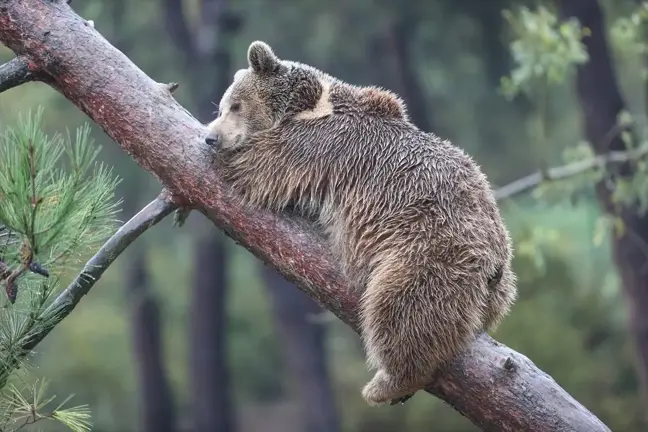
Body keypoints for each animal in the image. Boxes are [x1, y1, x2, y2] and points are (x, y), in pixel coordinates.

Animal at [205, 40, 520, 404]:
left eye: (235, 105)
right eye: (222, 106)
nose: (211, 138)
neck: (309, 104)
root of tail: (494, 262)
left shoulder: (317, 144)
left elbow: (260, 164)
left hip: (428, 250)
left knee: (399, 308)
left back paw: (387, 383)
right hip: (499, 283)